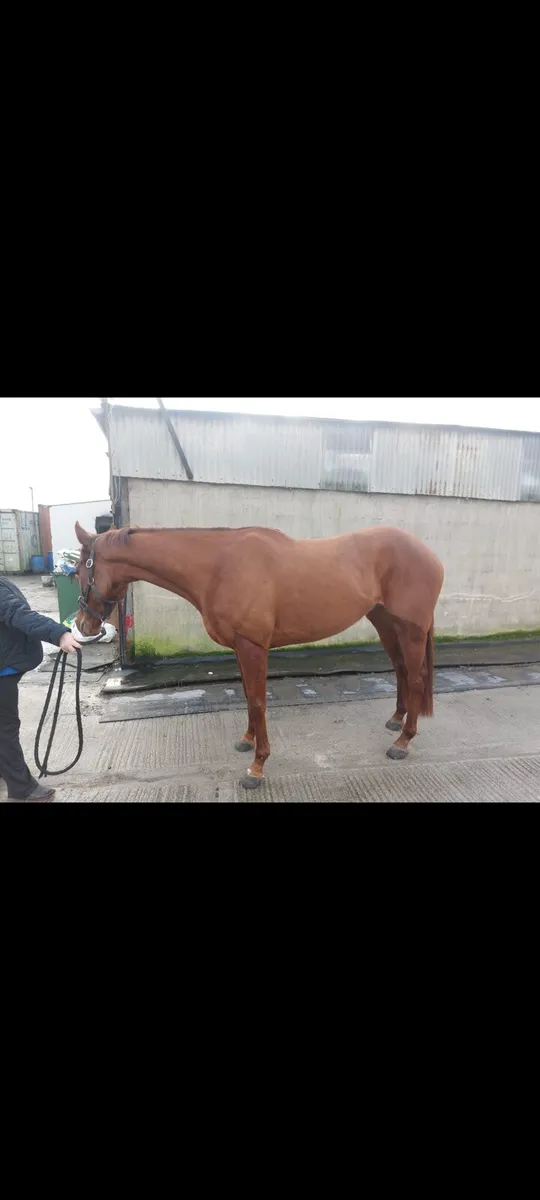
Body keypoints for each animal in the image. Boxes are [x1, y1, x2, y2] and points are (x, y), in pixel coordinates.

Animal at [74, 521, 444, 789]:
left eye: (79, 570)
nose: (82, 625)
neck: (218, 567)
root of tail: (431, 556)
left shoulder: (253, 646)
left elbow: (258, 700)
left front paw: (256, 767)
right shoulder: (240, 647)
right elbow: (247, 696)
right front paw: (247, 740)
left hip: (410, 629)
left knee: (415, 678)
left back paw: (402, 741)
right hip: (385, 623)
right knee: (400, 670)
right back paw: (396, 719)